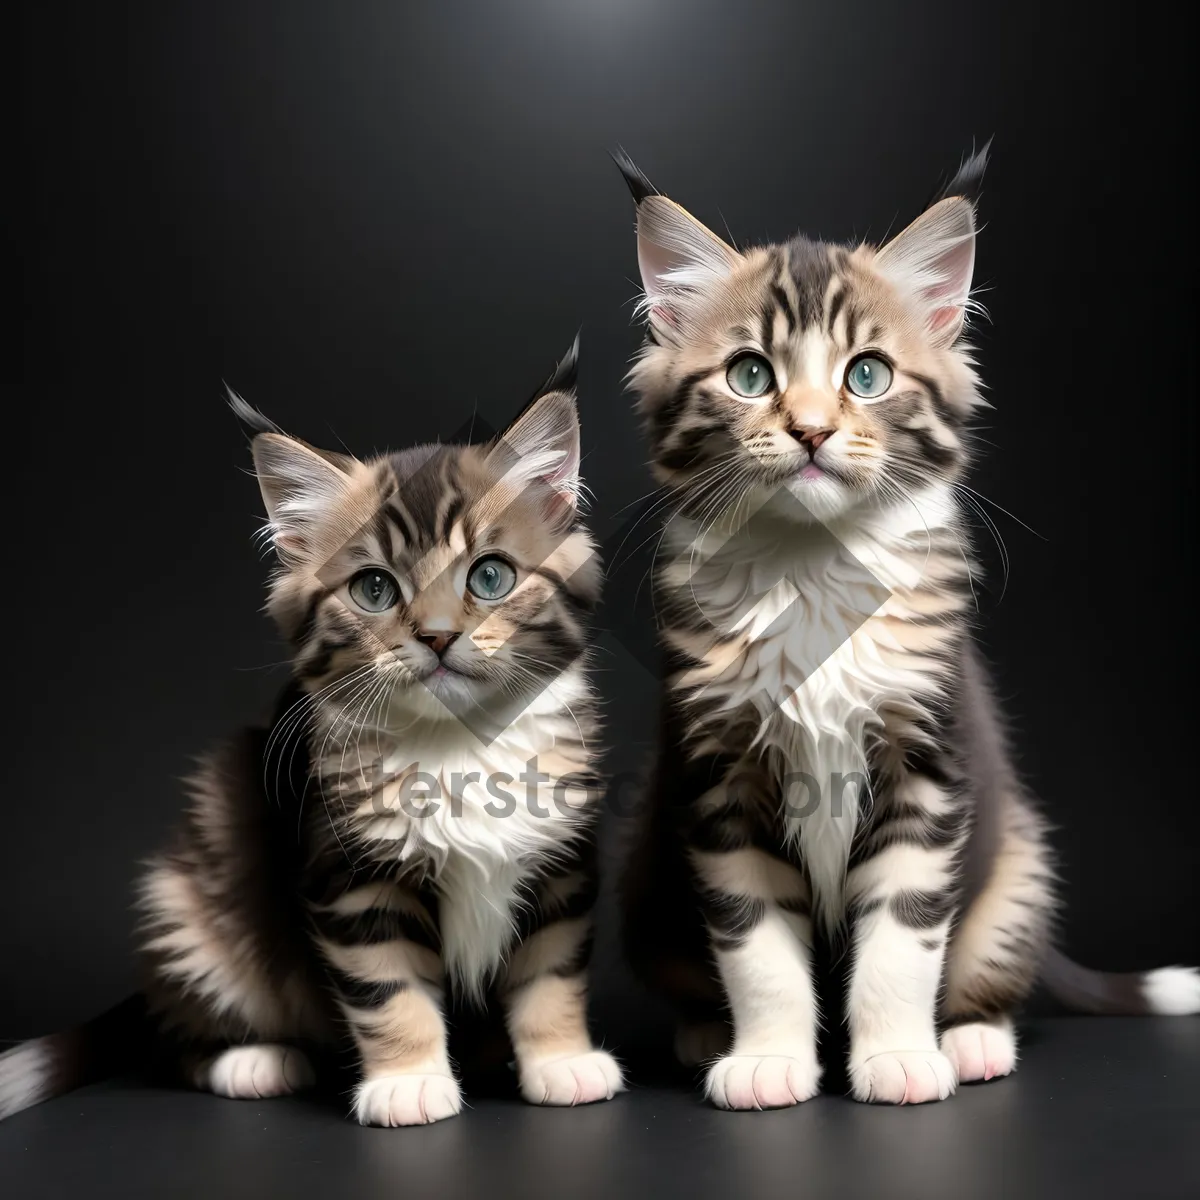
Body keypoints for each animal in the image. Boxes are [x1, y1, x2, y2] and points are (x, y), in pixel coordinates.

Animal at [7, 340, 628, 1123]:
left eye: (490, 578)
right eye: (375, 590)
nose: (437, 636)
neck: (456, 745)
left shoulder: (561, 862)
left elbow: (550, 975)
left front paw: (562, 1062)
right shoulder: (352, 877)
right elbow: (389, 990)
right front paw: (408, 1083)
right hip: (193, 886)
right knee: (175, 1041)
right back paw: (254, 1061)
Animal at [619, 147, 1200, 1104]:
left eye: (867, 374)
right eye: (750, 375)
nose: (812, 431)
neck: (812, 572)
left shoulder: (928, 762)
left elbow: (903, 933)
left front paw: (896, 1058)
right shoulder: (720, 780)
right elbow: (755, 942)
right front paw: (769, 1059)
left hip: (1020, 868)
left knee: (984, 973)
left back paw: (971, 1040)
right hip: (646, 875)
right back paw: (707, 1035)